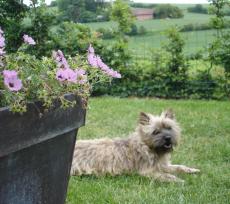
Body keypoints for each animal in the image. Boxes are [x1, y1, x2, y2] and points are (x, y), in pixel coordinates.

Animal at [71, 109, 199, 182]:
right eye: (155, 132)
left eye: (169, 128)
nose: (168, 138)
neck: (148, 147)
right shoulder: (147, 171)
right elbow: (165, 175)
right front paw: (178, 180)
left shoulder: (162, 165)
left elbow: (178, 167)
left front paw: (192, 170)